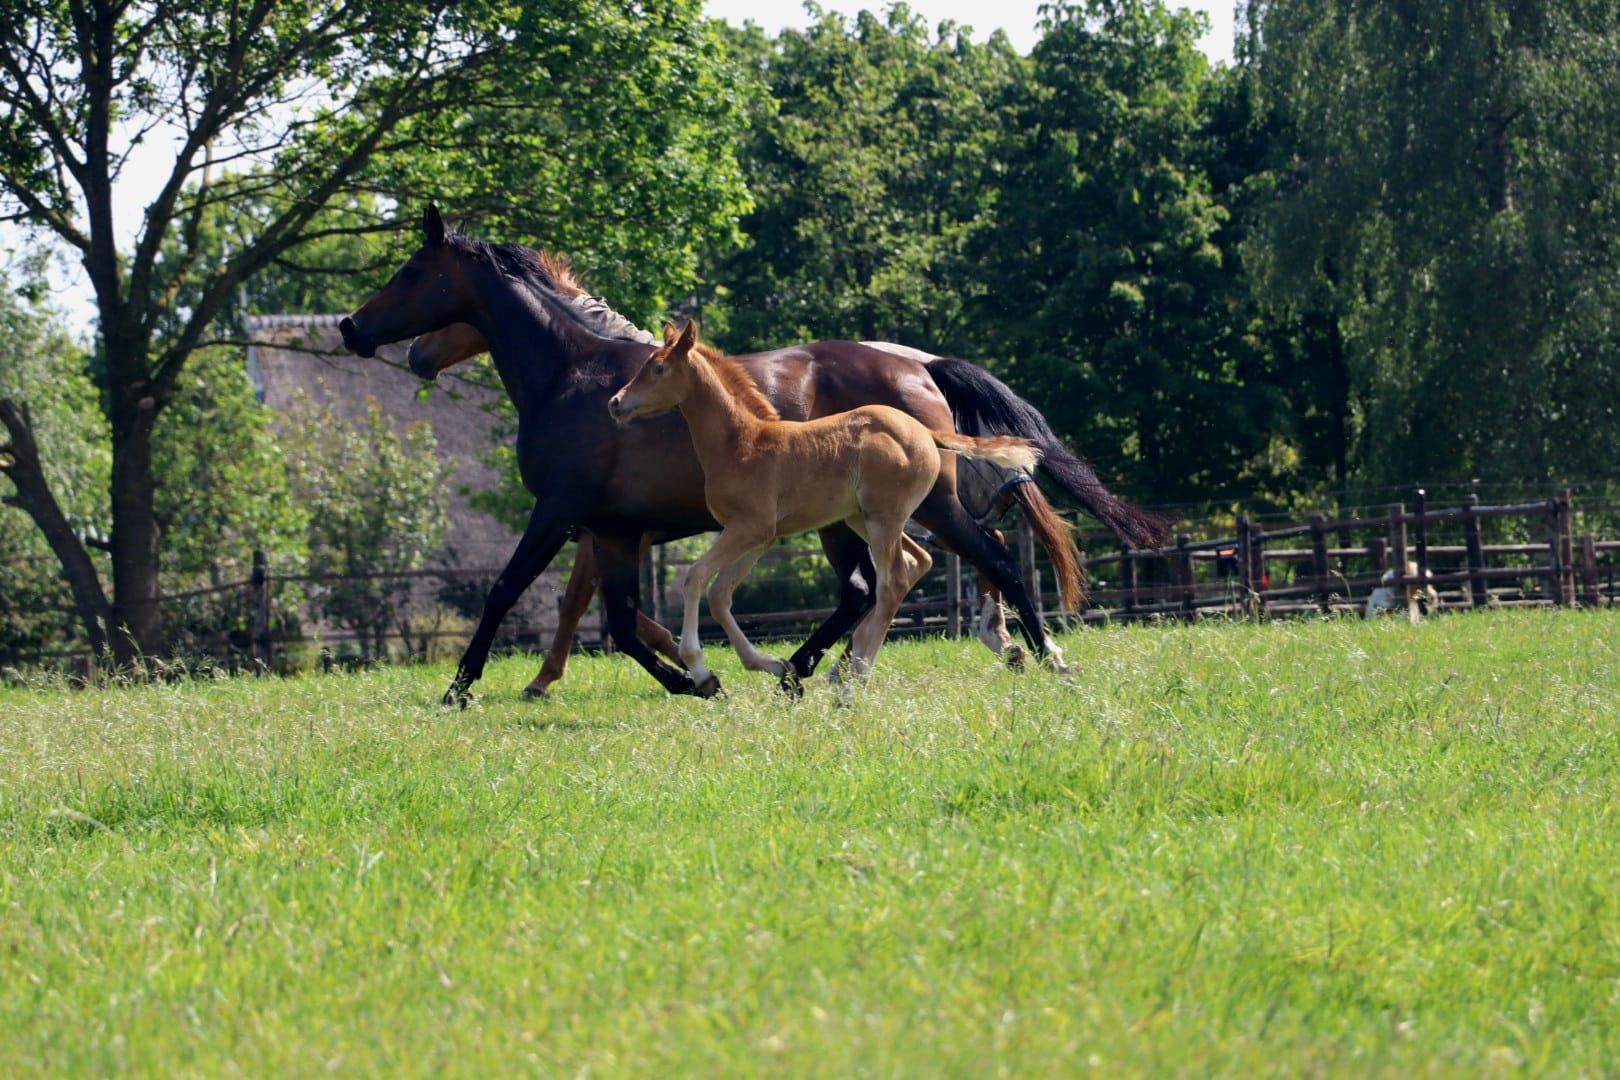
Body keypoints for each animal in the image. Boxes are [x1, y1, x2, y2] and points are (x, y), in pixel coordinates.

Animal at [608, 319, 1042, 691]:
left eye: (658, 368)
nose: (615, 402)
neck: (742, 443)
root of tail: (924, 431)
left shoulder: (750, 528)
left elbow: (695, 579)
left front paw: (700, 669)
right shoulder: (759, 537)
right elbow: (719, 595)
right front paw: (772, 665)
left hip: (885, 517)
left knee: (895, 580)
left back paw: (853, 682)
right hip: (862, 519)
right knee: (913, 564)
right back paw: (848, 668)